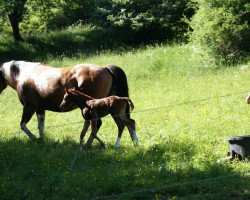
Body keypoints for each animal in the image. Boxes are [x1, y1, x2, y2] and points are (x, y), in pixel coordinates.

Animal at [0, 60, 129, 143]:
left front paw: (35, 139)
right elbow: (40, 126)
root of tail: (106, 68)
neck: (24, 74)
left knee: (96, 123)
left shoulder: (29, 107)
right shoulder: (40, 109)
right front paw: (41, 141)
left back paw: (88, 144)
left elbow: (23, 125)